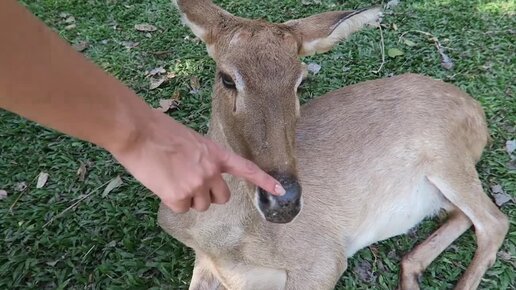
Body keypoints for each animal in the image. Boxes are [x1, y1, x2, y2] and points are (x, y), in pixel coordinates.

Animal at [156, 1, 508, 288]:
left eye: (300, 82)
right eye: (227, 78)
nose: (284, 201)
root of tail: (478, 112)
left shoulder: (322, 258)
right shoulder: (206, 263)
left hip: (448, 158)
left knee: (494, 221)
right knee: (462, 216)